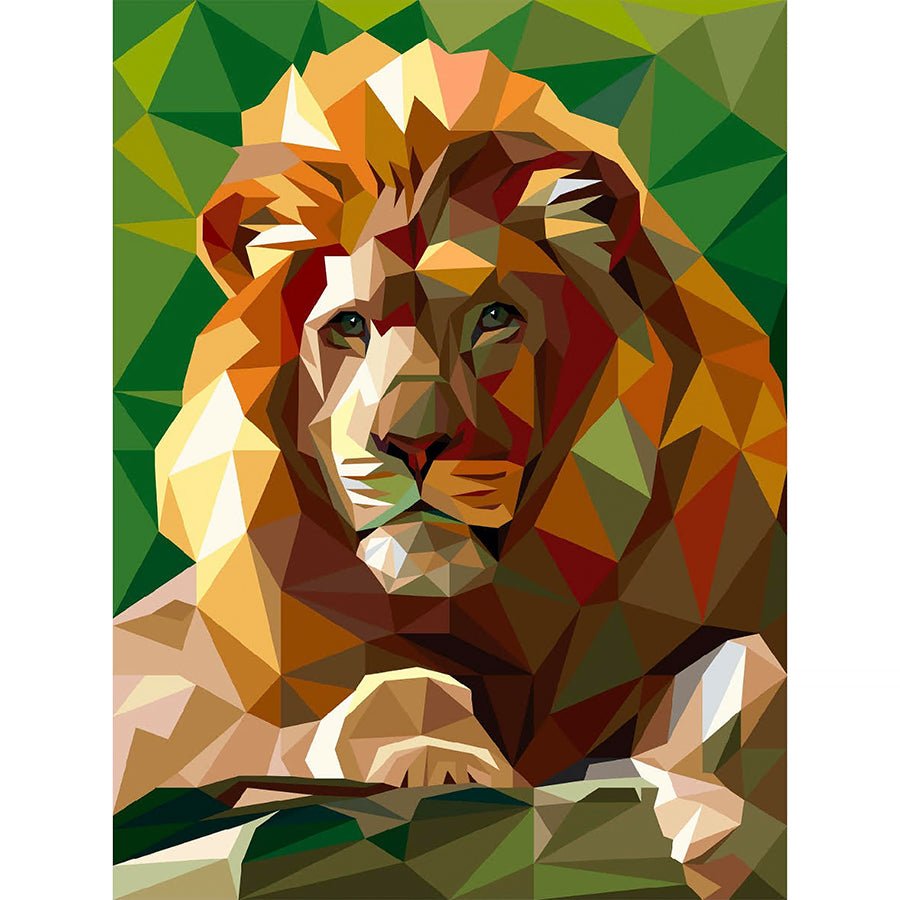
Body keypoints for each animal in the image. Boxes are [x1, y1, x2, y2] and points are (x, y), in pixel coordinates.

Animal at [114, 35, 785, 893]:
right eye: (350, 326)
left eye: (495, 316)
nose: (412, 444)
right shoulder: (164, 704)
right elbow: (327, 716)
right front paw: (433, 751)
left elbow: (746, 684)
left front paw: (740, 835)